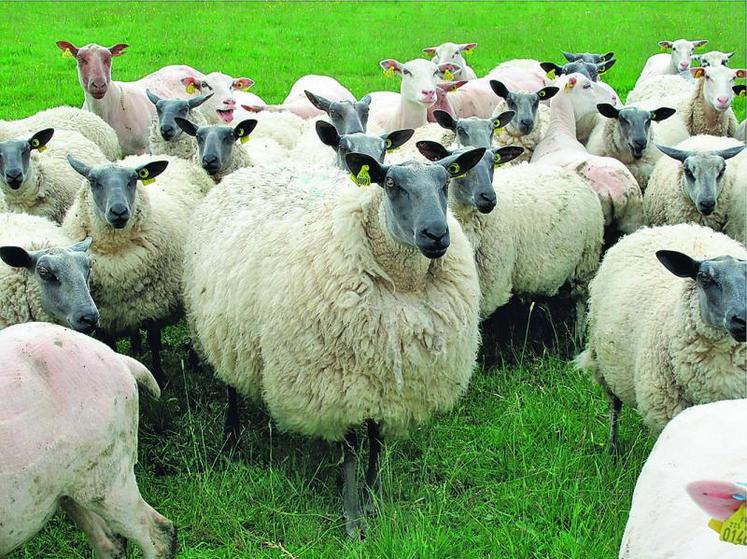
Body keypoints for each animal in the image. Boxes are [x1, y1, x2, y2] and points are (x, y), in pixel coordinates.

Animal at [61, 153, 213, 380]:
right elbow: (111, 346)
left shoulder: (153, 305)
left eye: (133, 180)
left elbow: (154, 341)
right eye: (93, 181)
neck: (116, 258)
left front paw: (159, 375)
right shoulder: (105, 315)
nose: (119, 211)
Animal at [185, 148, 488, 540]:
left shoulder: (387, 382)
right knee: (230, 387)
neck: (403, 285)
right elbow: (352, 452)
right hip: (220, 330)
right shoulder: (338, 384)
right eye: (391, 184)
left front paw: (373, 500)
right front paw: (353, 518)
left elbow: (377, 443)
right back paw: (231, 436)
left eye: (445, 181)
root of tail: (251, 171)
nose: (436, 234)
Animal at [580, 221, 747, 452]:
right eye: (704, 277)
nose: (742, 319)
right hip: (605, 366)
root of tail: (667, 226)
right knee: (615, 406)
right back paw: (612, 451)